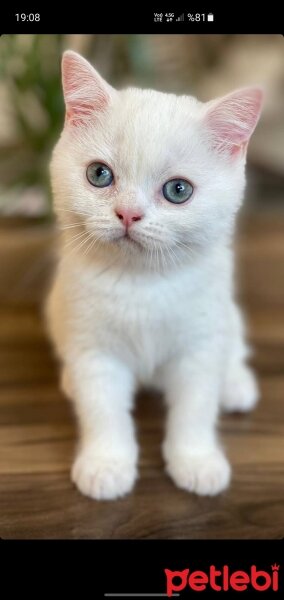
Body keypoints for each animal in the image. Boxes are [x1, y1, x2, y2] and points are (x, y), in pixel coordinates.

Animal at [46, 51, 262, 502]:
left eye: (178, 190)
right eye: (99, 174)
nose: (128, 213)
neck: (141, 283)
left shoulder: (198, 346)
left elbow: (195, 407)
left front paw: (196, 461)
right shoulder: (95, 351)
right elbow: (103, 409)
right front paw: (106, 464)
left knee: (232, 344)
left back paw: (234, 384)